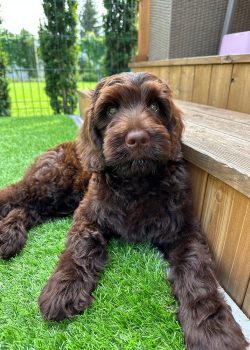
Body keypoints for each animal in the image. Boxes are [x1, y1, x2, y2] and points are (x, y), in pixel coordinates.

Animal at [0, 72, 248, 348]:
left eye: (155, 106)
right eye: (110, 110)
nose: (138, 138)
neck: (136, 182)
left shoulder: (183, 227)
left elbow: (196, 269)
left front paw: (212, 327)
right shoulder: (88, 212)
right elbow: (80, 246)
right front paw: (63, 288)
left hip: (63, 200)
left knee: (29, 210)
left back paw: (8, 237)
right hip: (54, 182)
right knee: (15, 195)